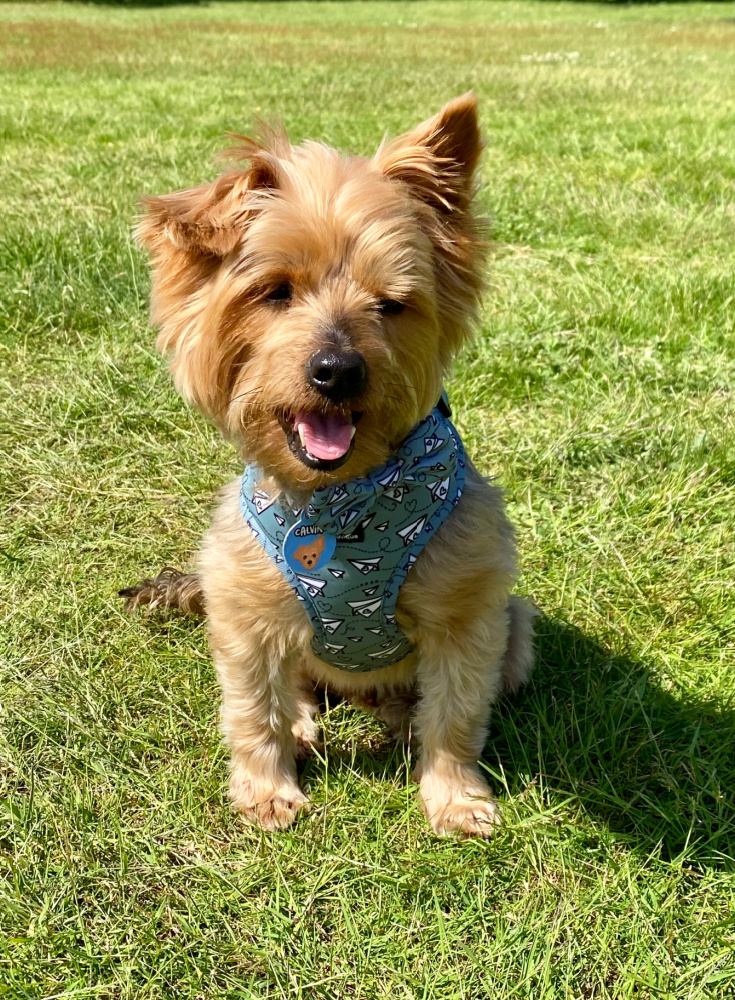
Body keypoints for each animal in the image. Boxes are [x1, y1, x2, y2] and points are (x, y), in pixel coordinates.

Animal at [123, 97, 536, 840]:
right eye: (274, 292)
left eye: (391, 304)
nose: (339, 370)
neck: (344, 501)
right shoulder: (243, 610)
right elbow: (253, 710)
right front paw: (265, 789)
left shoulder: (468, 613)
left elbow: (456, 713)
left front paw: (455, 797)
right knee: (298, 689)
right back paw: (306, 724)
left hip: (517, 626)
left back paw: (396, 716)